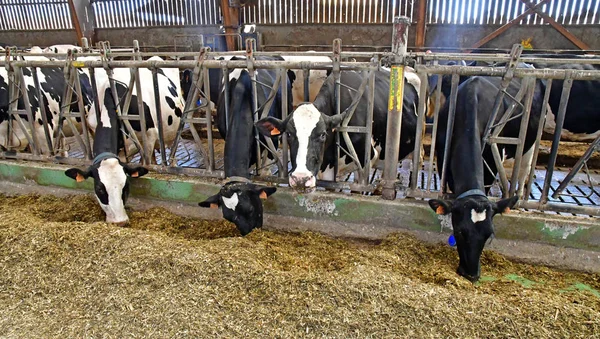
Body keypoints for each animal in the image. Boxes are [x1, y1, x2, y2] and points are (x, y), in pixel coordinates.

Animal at [426, 75, 544, 282]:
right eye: (459, 231)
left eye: (490, 235)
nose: (471, 274)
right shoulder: (442, 161)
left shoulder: (490, 165)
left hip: (530, 144)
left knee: (523, 171)